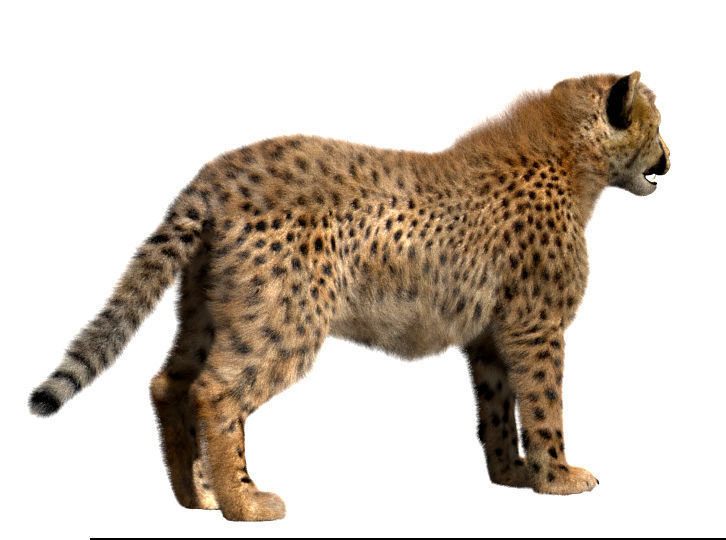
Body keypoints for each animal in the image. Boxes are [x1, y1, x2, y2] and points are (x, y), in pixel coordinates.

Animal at [29, 71, 670, 521]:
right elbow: (543, 405)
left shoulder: (490, 335)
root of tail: (218, 171)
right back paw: (244, 503)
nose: (670, 158)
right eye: (656, 122)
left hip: (214, 311)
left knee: (171, 383)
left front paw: (510, 473)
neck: (571, 154)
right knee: (214, 392)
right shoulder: (535, 327)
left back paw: (198, 495)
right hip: (284, 319)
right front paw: (558, 477)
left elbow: (496, 408)